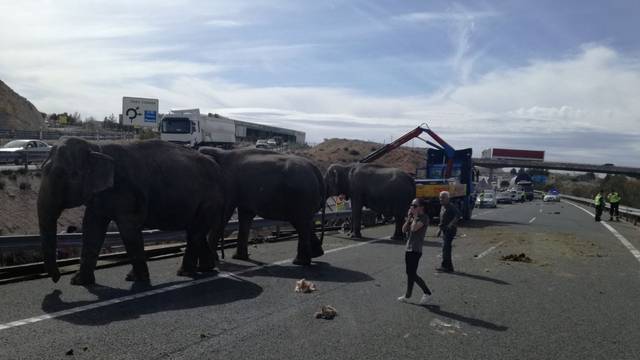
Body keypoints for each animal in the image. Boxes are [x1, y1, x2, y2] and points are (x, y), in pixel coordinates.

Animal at [38, 137, 226, 284]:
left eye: (64, 175)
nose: (56, 279)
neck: (96, 148)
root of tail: (217, 167)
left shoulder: (126, 191)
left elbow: (128, 228)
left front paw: (135, 278)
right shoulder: (99, 196)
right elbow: (92, 228)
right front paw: (78, 282)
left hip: (209, 200)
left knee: (195, 232)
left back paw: (185, 272)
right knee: (195, 231)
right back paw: (206, 268)